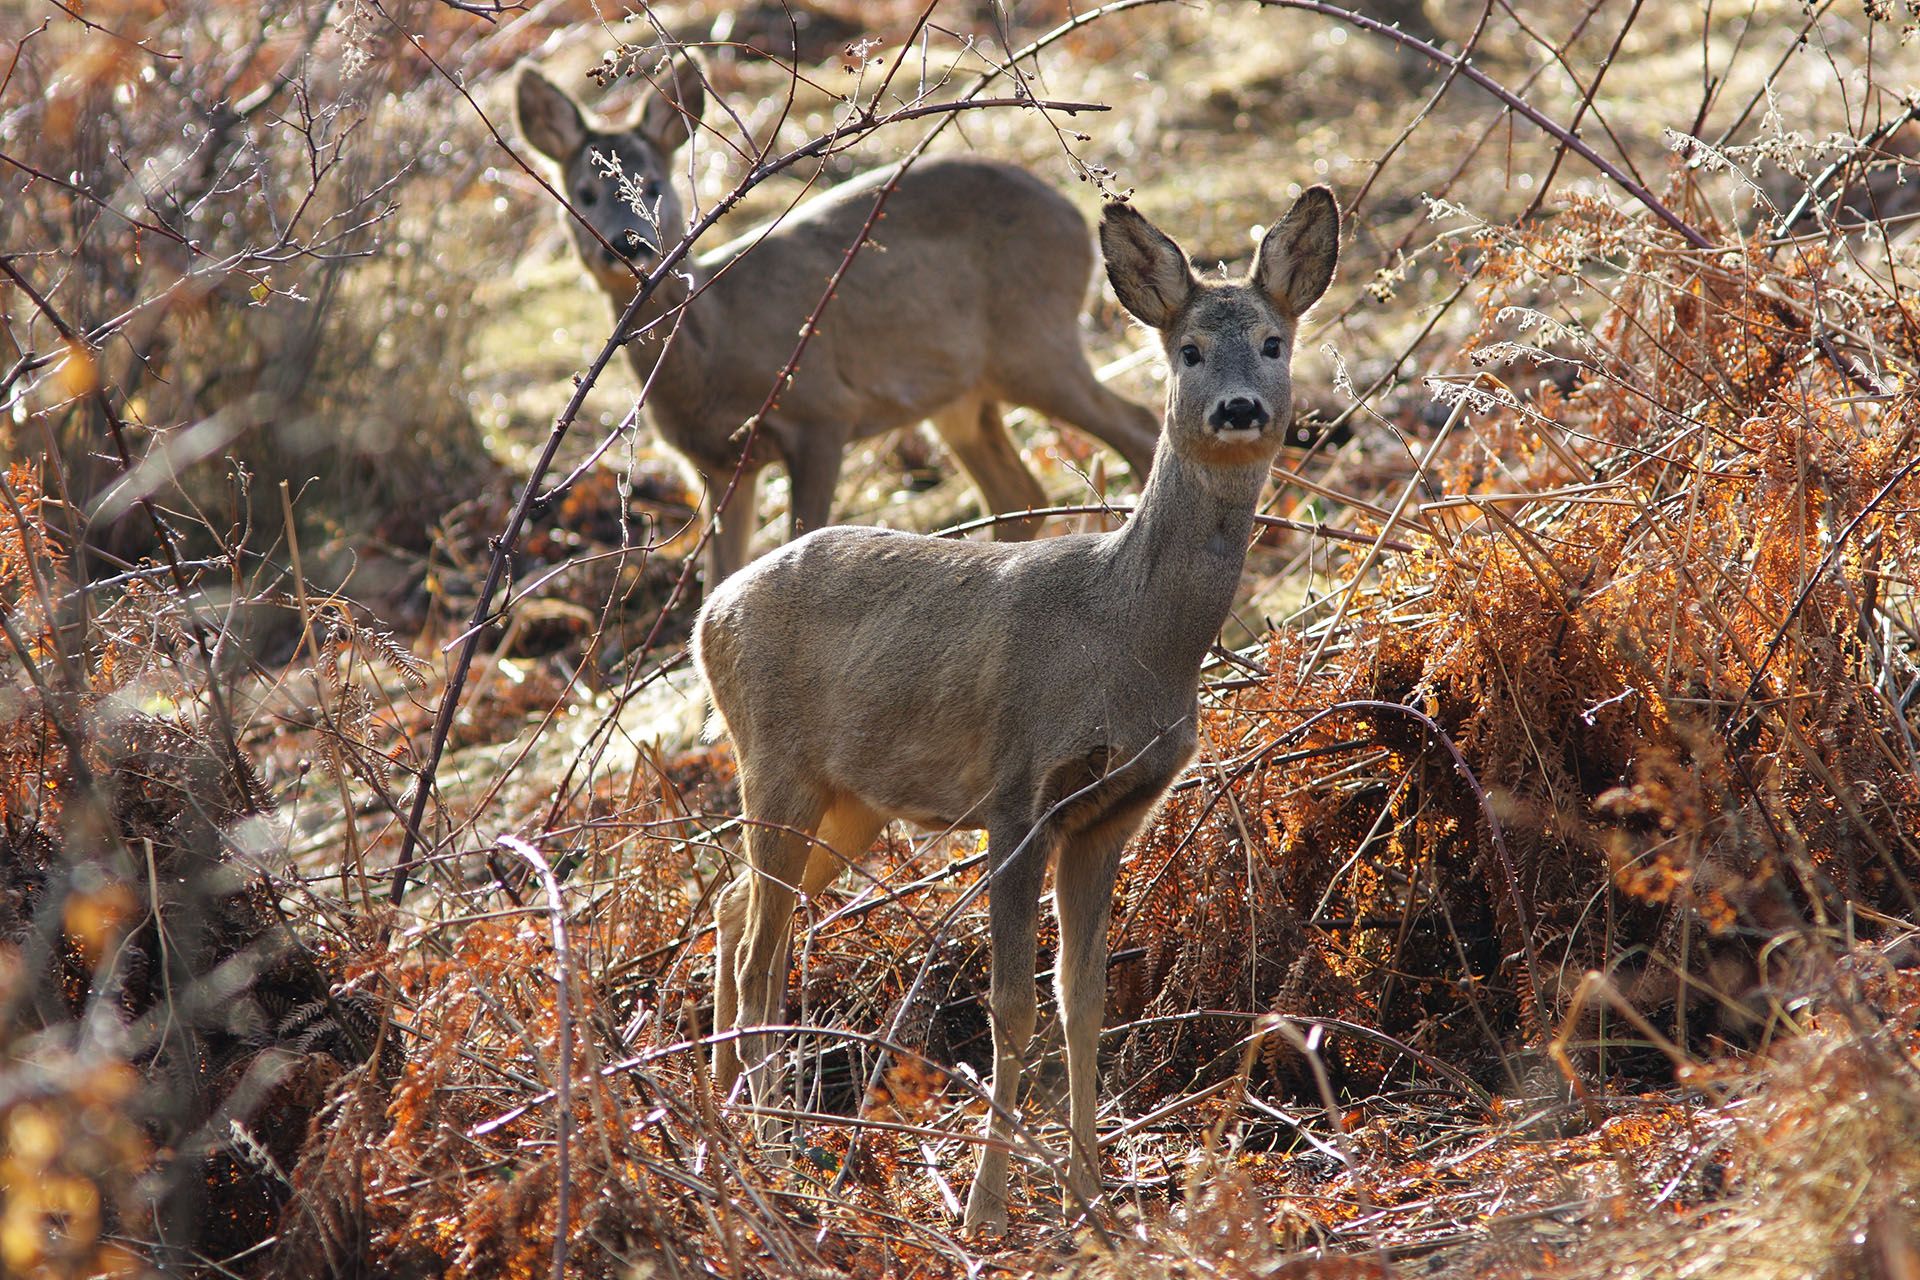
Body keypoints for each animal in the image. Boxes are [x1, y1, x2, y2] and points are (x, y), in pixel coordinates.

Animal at [514, 61, 1167, 579]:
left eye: (652, 182)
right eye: (583, 193)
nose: (628, 243)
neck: (715, 346)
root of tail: (1077, 220)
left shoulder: (821, 410)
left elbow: (800, 542)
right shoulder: (717, 464)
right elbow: (718, 580)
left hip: (1035, 342)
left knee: (1136, 425)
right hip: (961, 393)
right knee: (1018, 491)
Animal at [698, 189, 1344, 1228]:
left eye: (1274, 341)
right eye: (1188, 349)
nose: (1241, 408)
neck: (1127, 638)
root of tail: (708, 614)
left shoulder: (1113, 811)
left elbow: (1084, 997)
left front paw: (1094, 1190)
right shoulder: (1016, 791)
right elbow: (1012, 1004)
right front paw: (988, 1209)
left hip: (852, 800)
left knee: (730, 907)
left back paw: (728, 1124)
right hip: (776, 764)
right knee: (762, 947)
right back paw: (769, 1145)